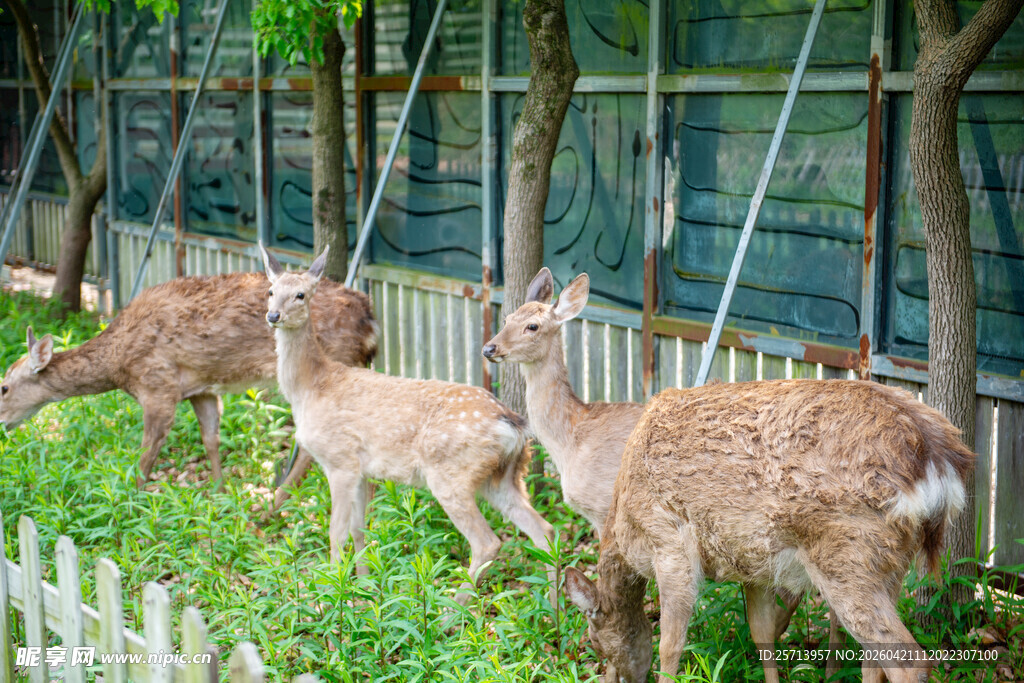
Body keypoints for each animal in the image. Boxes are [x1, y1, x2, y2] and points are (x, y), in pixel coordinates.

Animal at [0, 271, 378, 490]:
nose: (2, 422)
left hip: (336, 365)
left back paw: (275, 503)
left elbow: (145, 457)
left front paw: (131, 501)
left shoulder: (158, 387)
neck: (120, 364)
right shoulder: (201, 389)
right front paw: (220, 492)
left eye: (3, 386)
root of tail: (371, 319)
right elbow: (211, 438)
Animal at [259, 243, 555, 597]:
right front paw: (365, 586)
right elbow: (360, 529)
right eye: (271, 291)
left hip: (451, 474)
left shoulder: (340, 460)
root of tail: (512, 423)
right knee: (544, 529)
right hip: (502, 476)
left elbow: (336, 534)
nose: (273, 316)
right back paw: (555, 606)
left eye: (301, 294)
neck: (312, 388)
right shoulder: (363, 470)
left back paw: (451, 607)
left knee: (488, 542)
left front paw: (332, 594)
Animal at [564, 379, 975, 683]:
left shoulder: (669, 544)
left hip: (848, 554)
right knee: (873, 659)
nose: (610, 677)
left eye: (595, 642)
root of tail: (938, 460)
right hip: (889, 565)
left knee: (908, 661)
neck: (624, 526)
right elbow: (762, 633)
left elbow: (670, 645)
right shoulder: (752, 565)